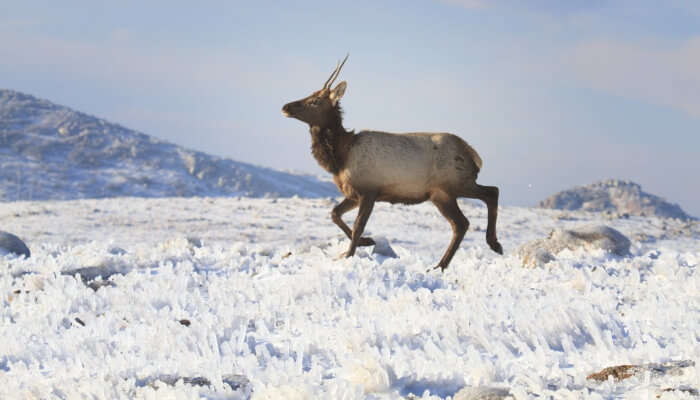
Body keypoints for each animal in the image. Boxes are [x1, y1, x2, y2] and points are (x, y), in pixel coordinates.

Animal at [280, 54, 504, 270]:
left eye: (315, 101)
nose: (286, 107)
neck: (341, 156)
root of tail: (473, 156)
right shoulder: (354, 193)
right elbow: (334, 213)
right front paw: (367, 241)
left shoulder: (369, 191)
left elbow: (357, 226)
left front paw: (350, 253)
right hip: (448, 190)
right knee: (472, 212)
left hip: (450, 187)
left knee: (480, 204)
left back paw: (462, 256)